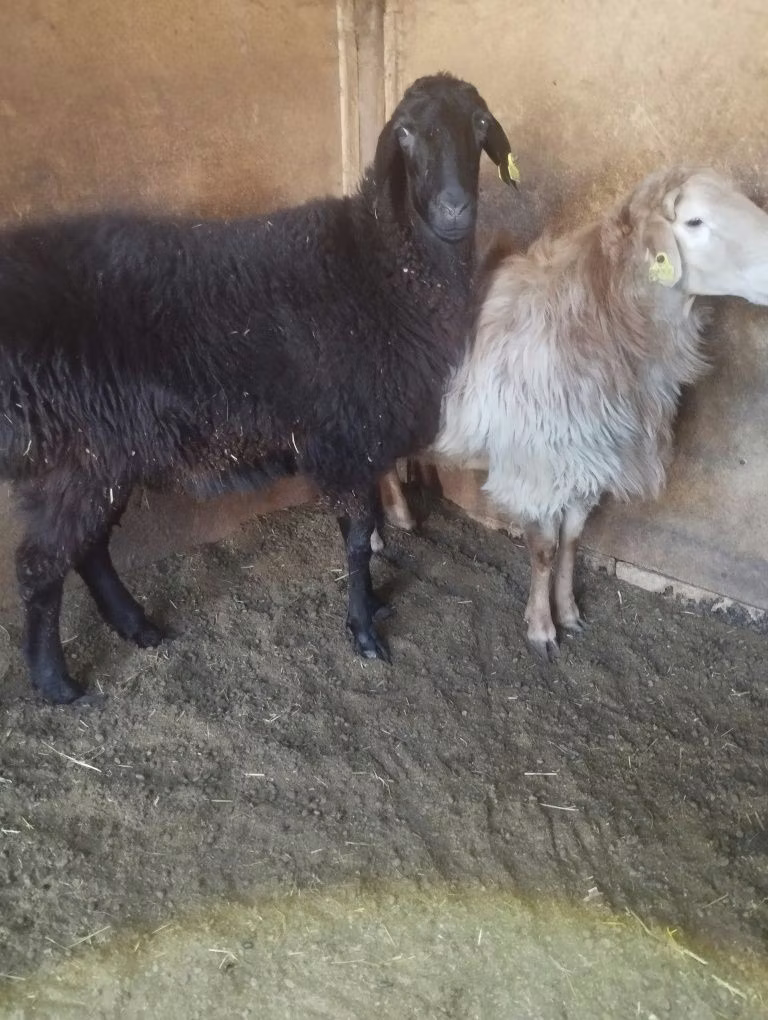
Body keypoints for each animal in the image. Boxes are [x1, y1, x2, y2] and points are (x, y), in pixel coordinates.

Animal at [0, 73, 518, 704]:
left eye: (481, 124)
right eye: (406, 133)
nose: (454, 208)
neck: (382, 265)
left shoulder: (364, 439)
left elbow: (366, 528)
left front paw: (372, 605)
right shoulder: (346, 439)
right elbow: (357, 537)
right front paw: (363, 630)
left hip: (103, 456)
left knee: (88, 549)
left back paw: (137, 626)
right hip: (74, 457)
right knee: (41, 565)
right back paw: (55, 681)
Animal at [399, 167, 768, 658]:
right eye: (693, 221)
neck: (602, 315)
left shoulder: (586, 456)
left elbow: (572, 541)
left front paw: (569, 612)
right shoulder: (537, 463)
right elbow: (543, 549)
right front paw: (541, 629)